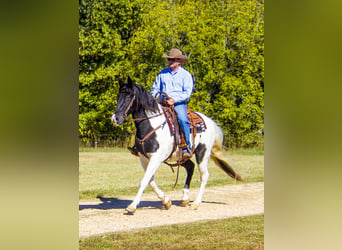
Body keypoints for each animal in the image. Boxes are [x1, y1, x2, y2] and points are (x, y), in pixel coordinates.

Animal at [111, 77, 242, 214]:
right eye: (118, 96)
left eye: (129, 96)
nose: (115, 118)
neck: (151, 126)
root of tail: (210, 122)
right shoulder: (144, 158)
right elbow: (150, 181)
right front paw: (166, 201)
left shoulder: (156, 158)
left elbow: (145, 181)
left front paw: (132, 205)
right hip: (181, 156)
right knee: (190, 167)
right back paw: (185, 198)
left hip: (202, 153)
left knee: (204, 176)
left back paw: (196, 203)